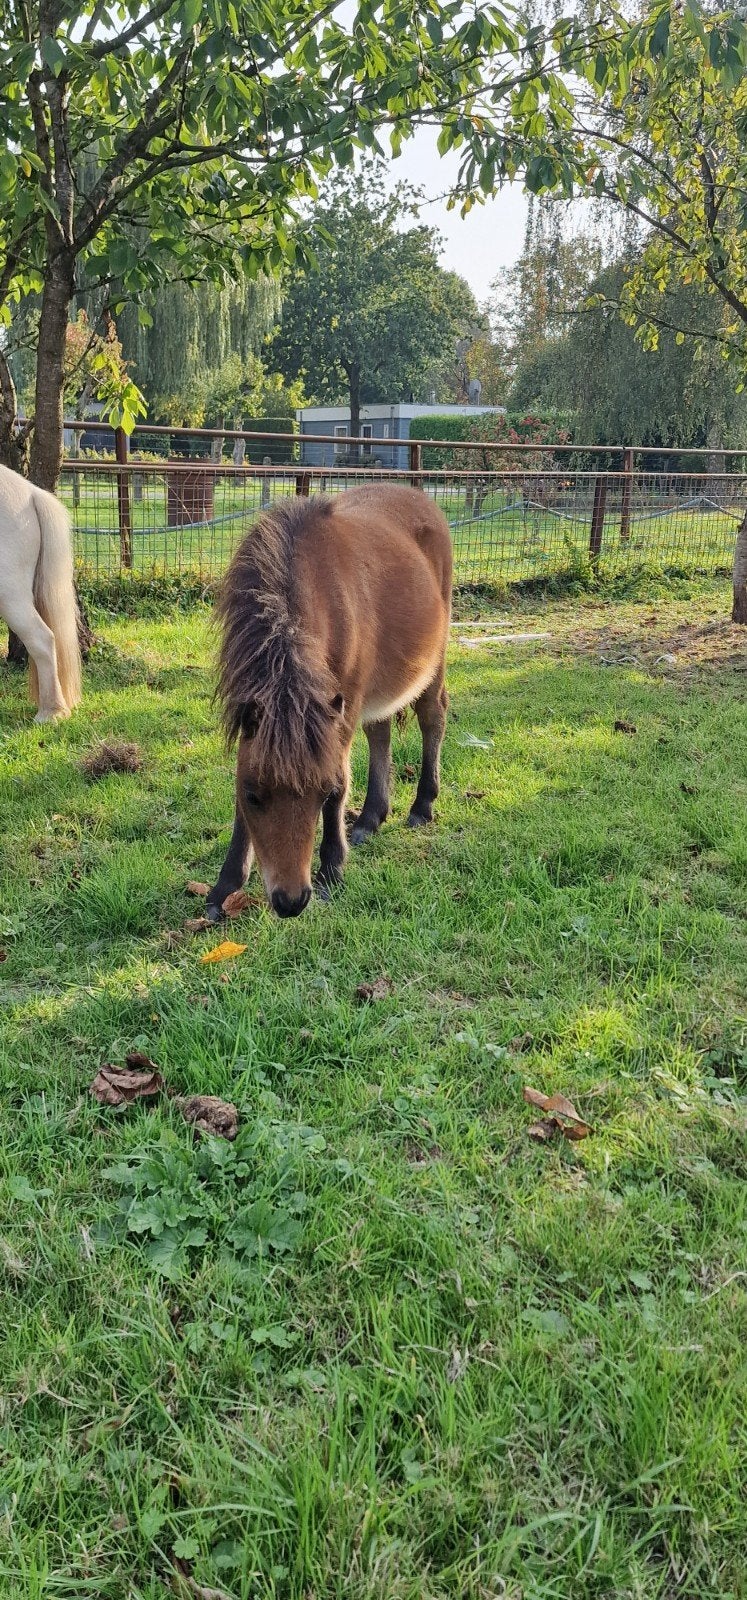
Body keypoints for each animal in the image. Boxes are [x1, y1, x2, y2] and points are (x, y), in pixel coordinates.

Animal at [207, 484, 452, 919]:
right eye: (254, 794)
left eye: (320, 793)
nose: (291, 901)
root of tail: (422, 499)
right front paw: (225, 886)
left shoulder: (343, 707)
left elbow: (341, 781)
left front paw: (332, 870)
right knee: (381, 732)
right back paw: (370, 818)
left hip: (431, 664)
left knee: (432, 719)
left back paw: (422, 806)